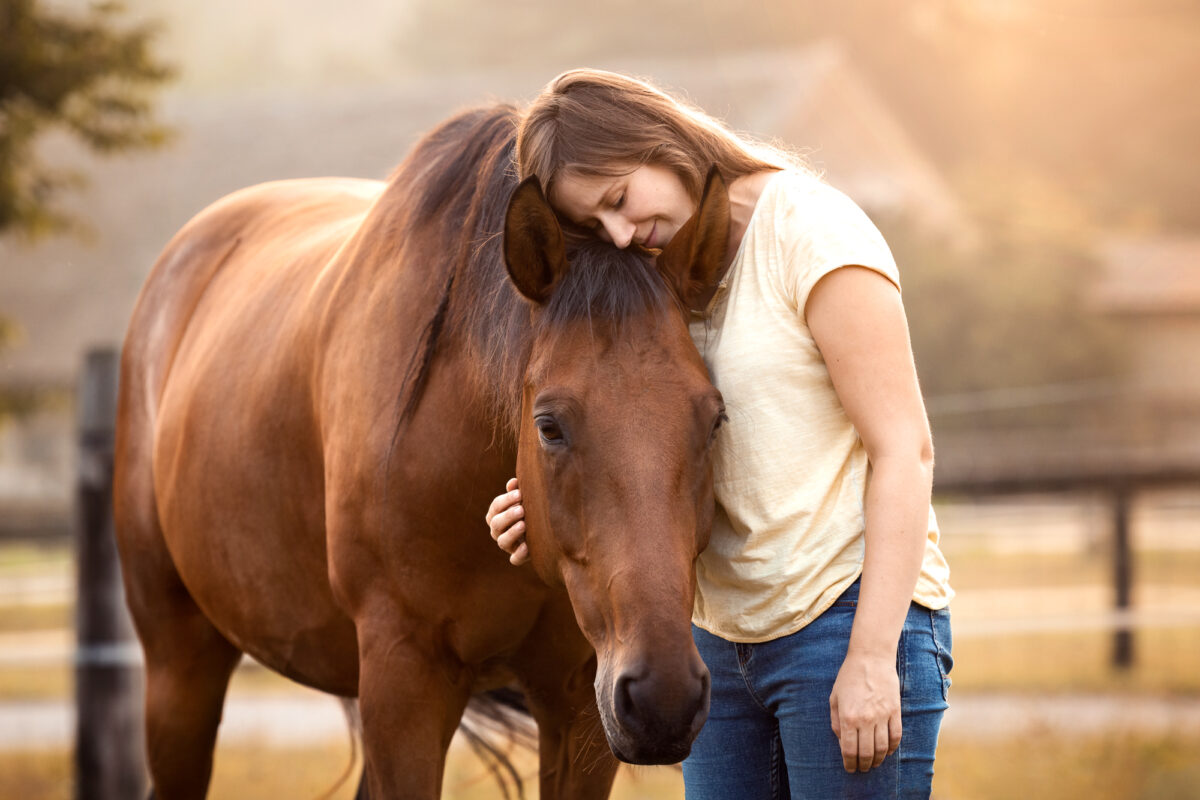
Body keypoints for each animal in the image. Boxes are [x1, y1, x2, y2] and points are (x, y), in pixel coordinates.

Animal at [113, 103, 732, 798]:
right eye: (549, 426)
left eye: (714, 419)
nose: (663, 699)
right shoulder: (403, 677)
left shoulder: (580, 703)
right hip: (180, 663)